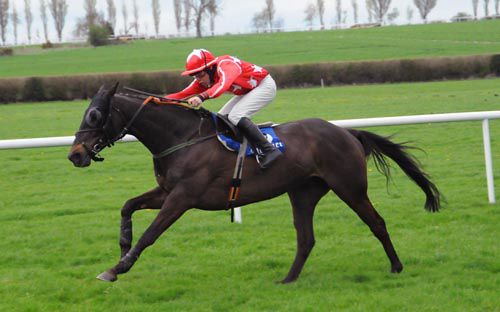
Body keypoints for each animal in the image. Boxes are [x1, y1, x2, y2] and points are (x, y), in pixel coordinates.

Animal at [68, 84, 440, 282]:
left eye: (95, 115)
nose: (75, 155)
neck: (182, 138)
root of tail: (347, 132)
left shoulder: (183, 197)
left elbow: (150, 234)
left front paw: (118, 267)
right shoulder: (166, 191)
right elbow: (127, 206)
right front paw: (121, 249)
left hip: (349, 186)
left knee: (376, 222)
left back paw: (396, 266)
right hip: (303, 192)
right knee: (306, 238)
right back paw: (288, 279)